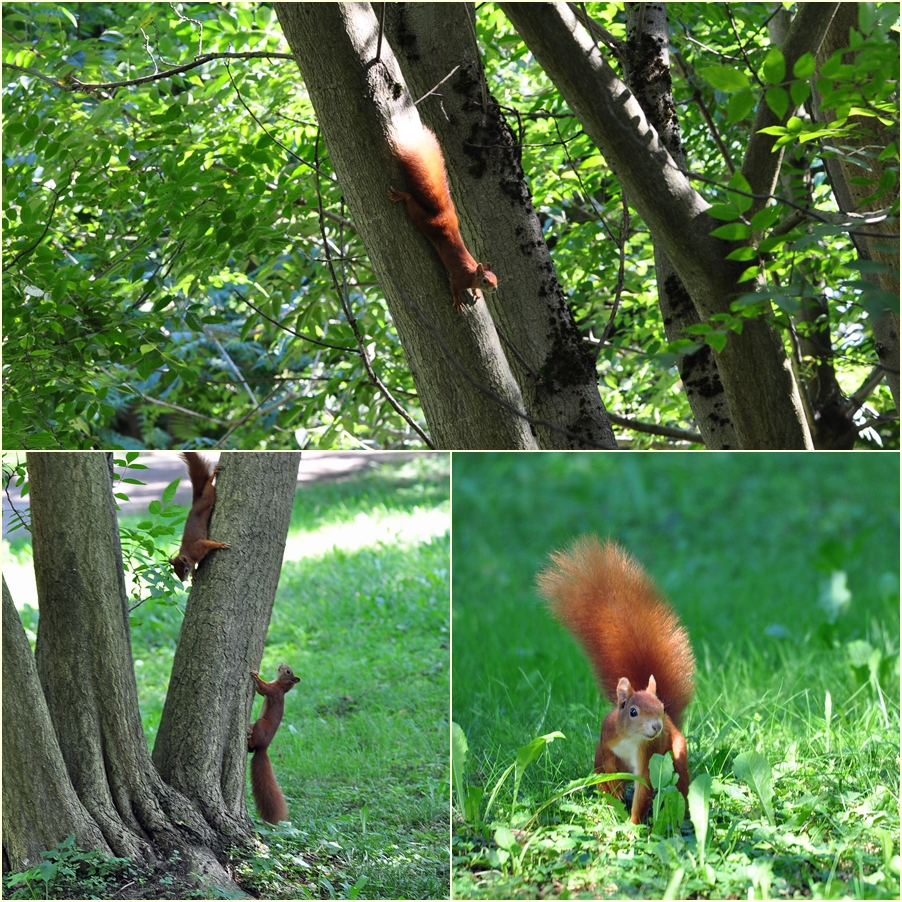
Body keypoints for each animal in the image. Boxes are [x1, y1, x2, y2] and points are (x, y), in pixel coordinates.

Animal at [170, 452, 231, 588]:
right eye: (175, 572)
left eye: (185, 570)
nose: (183, 580)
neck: (188, 555)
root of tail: (196, 502)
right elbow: (194, 568)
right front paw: (193, 577)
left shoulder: (199, 546)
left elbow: (209, 543)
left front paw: (220, 544)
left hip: (208, 499)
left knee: (208, 486)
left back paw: (213, 475)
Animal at [249, 664, 302, 828]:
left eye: (288, 671)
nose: (282, 664)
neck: (281, 686)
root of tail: (263, 748)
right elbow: (260, 692)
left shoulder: (273, 690)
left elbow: (263, 688)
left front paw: (255, 675)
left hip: (261, 725)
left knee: (253, 744)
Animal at [390, 124, 498, 310]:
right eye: (485, 280)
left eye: (496, 278)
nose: (495, 289)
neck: (472, 275)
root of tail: (444, 216)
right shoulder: (459, 278)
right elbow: (454, 288)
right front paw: (458, 301)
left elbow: (474, 290)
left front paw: (477, 294)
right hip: (425, 222)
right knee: (411, 203)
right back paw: (402, 196)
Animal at [536, 536, 700, 828]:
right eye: (632, 711)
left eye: (661, 707)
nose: (657, 727)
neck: (631, 738)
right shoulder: (606, 738)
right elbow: (604, 764)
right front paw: (614, 793)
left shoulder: (646, 758)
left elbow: (644, 788)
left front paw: (632, 825)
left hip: (676, 752)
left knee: (679, 780)